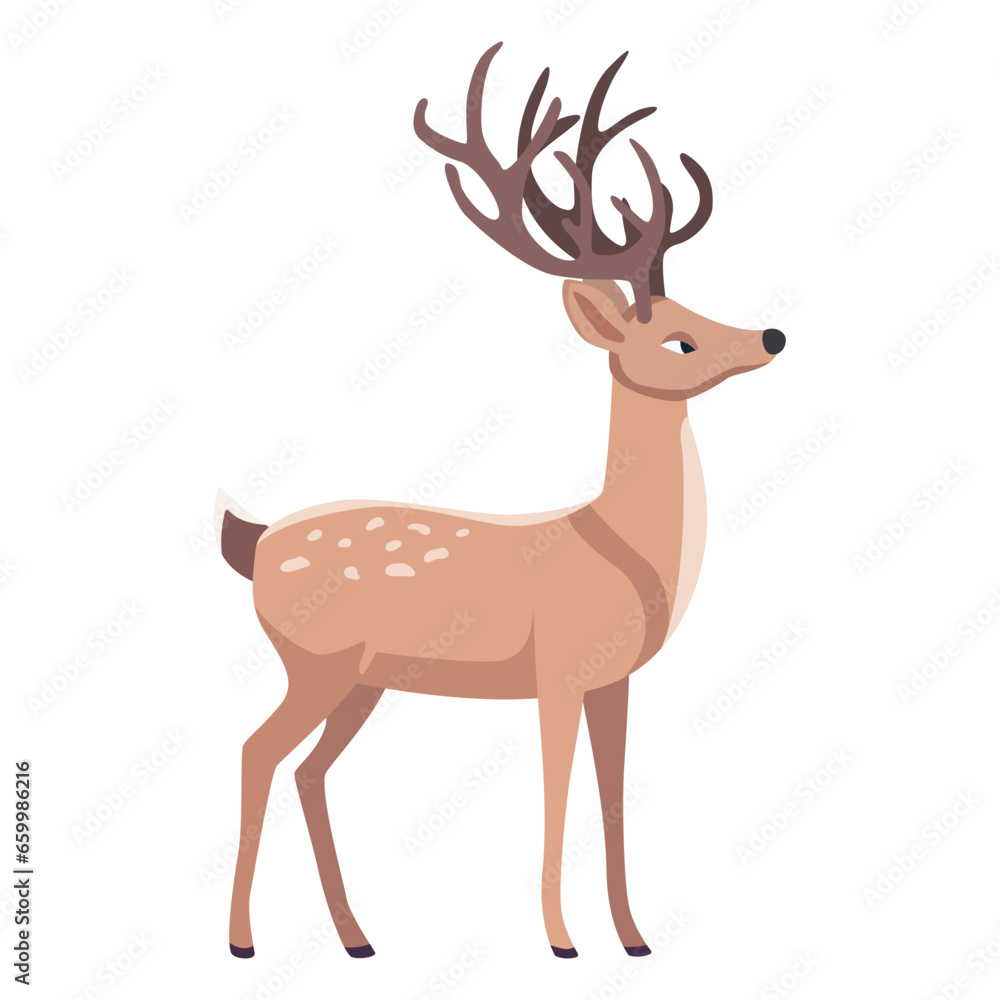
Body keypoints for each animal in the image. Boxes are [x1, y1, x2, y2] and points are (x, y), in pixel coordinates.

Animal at [219, 41, 785, 963]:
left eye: (697, 307)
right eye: (679, 339)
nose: (772, 334)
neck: (626, 553)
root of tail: (252, 541)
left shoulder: (615, 681)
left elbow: (612, 794)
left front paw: (634, 938)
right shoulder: (557, 669)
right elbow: (556, 791)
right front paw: (561, 941)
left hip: (363, 680)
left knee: (307, 767)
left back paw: (357, 938)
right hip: (315, 660)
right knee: (255, 750)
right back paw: (242, 941)